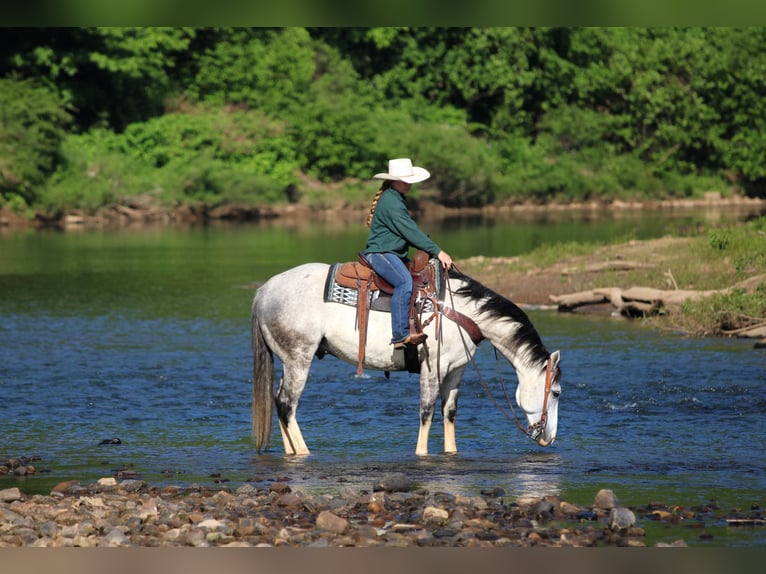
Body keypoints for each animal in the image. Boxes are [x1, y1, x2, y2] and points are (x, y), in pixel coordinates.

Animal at [251, 261, 562, 456]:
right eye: (557, 392)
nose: (549, 438)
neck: (460, 311)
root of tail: (265, 290)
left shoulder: (456, 370)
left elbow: (449, 413)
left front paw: (451, 452)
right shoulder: (433, 367)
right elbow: (427, 411)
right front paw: (421, 454)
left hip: (289, 361)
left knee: (279, 401)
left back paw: (291, 451)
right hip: (299, 359)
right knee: (287, 404)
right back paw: (304, 452)